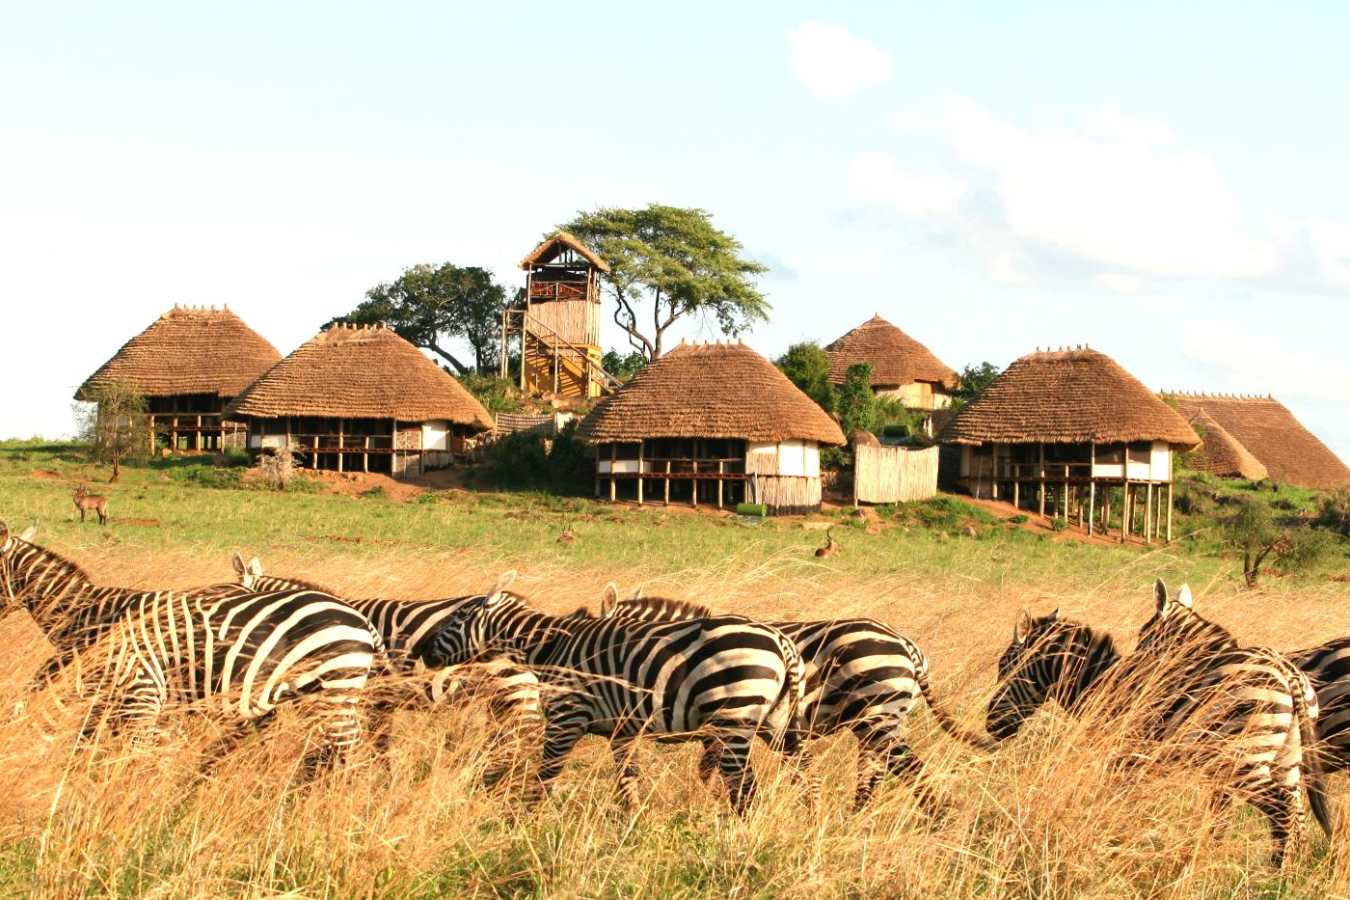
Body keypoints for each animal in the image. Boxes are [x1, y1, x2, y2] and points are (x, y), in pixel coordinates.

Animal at [0, 522, 377, 771]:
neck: (89, 615)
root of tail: (359, 618)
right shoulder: (113, 698)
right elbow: (87, 745)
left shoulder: (140, 690)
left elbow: (131, 750)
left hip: (333, 691)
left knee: (346, 751)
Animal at [425, 576, 805, 814]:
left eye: (456, 620)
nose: (425, 653)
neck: (550, 645)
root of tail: (780, 641)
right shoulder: (623, 730)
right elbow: (627, 782)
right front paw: (631, 825)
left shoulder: (566, 718)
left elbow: (546, 776)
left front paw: (523, 824)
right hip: (776, 723)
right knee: (802, 769)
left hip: (733, 720)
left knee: (745, 787)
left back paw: (739, 836)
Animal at [581, 586, 994, 812]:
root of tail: (908, 646)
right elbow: (709, 771)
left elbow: (710, 773)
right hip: (877, 721)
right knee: (876, 773)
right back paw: (856, 819)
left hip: (878, 715)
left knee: (908, 769)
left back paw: (933, 819)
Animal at [986, 580, 1330, 868]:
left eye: (1004, 666)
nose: (990, 724)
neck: (1100, 684)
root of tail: (1287, 673)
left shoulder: (1122, 757)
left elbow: (1115, 801)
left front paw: (1113, 841)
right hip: (1286, 759)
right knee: (1296, 812)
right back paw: (1288, 871)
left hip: (1243, 760)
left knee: (1282, 809)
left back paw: (1276, 872)